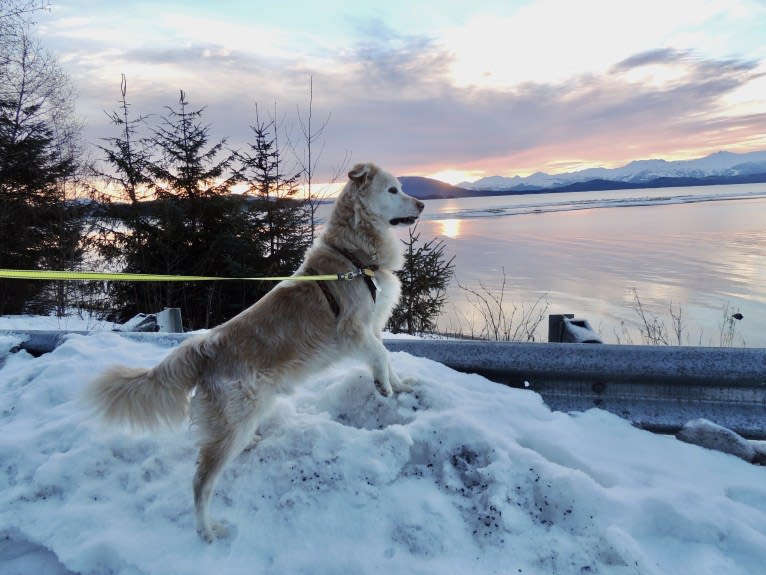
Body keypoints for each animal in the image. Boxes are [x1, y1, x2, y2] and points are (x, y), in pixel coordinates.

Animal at [88, 163, 432, 544]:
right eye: (392, 190)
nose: (422, 205)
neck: (353, 257)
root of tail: (204, 348)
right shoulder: (353, 330)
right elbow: (381, 356)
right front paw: (384, 386)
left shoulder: (372, 328)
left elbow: (386, 357)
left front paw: (400, 386)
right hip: (233, 422)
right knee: (200, 483)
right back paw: (207, 530)